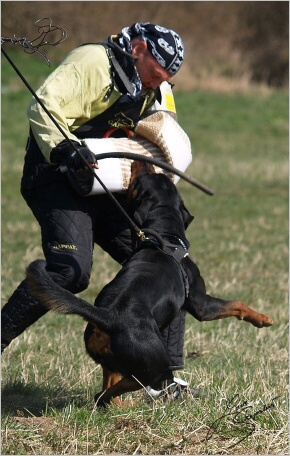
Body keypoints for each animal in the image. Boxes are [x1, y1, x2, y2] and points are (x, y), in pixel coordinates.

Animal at [26, 160, 274, 406]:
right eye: (140, 180)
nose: (139, 161)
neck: (165, 239)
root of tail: (108, 317)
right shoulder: (202, 305)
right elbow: (237, 303)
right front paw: (262, 319)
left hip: (113, 360)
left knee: (109, 387)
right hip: (154, 366)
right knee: (110, 392)